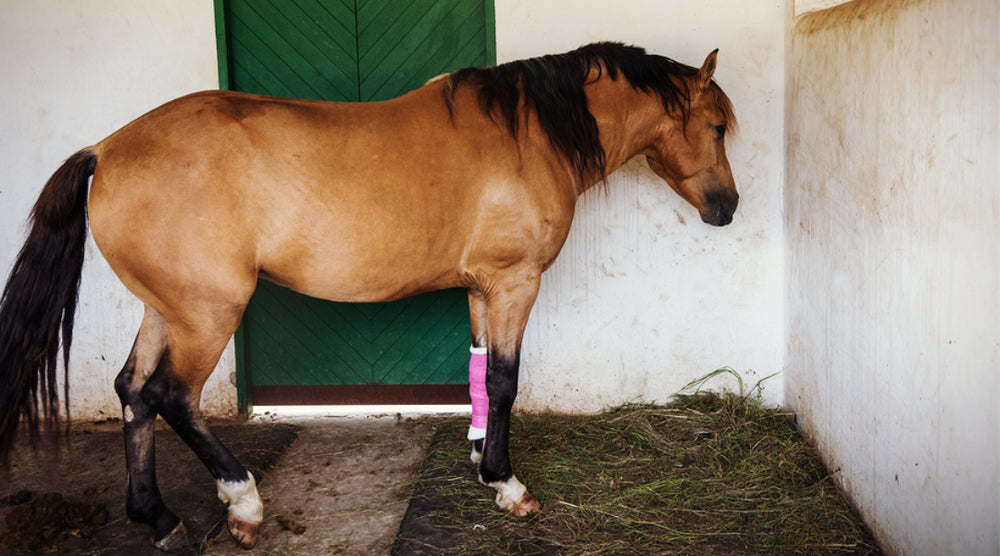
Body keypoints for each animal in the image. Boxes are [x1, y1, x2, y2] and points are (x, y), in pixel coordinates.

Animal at [0, 41, 736, 548]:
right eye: (718, 126)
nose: (727, 207)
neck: (528, 135)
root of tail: (105, 149)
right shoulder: (513, 282)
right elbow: (506, 379)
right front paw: (507, 483)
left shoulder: (481, 288)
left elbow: (479, 375)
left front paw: (480, 461)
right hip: (208, 313)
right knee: (170, 396)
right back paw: (243, 503)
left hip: (167, 308)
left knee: (132, 392)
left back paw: (156, 517)